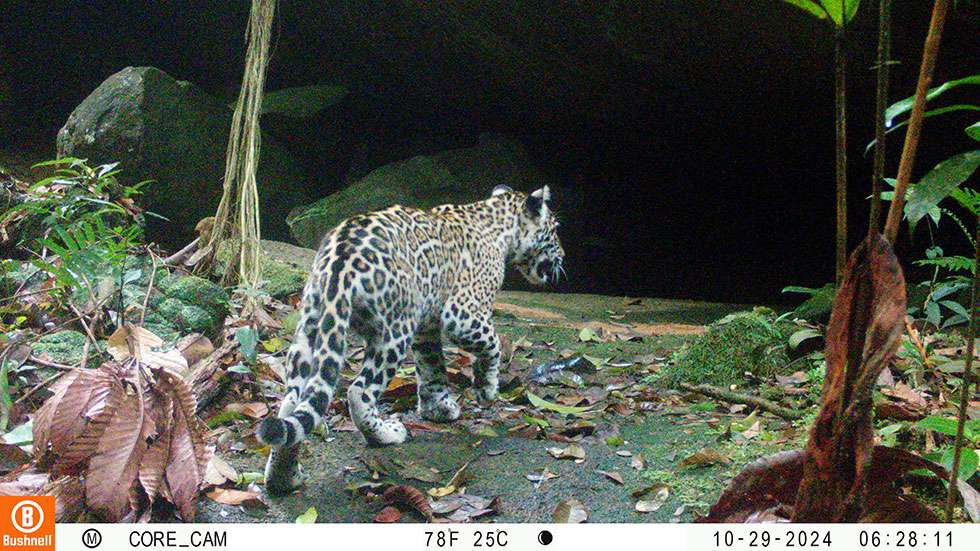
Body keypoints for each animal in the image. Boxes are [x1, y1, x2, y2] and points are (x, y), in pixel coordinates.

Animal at [257, 184, 565, 494]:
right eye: (554, 229)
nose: (563, 256)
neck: (500, 227)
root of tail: (339, 260)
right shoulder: (462, 314)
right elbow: (492, 344)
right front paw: (486, 388)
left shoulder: (426, 326)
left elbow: (432, 368)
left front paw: (437, 408)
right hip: (393, 332)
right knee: (358, 391)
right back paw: (387, 434)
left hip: (311, 328)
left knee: (293, 402)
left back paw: (283, 477)